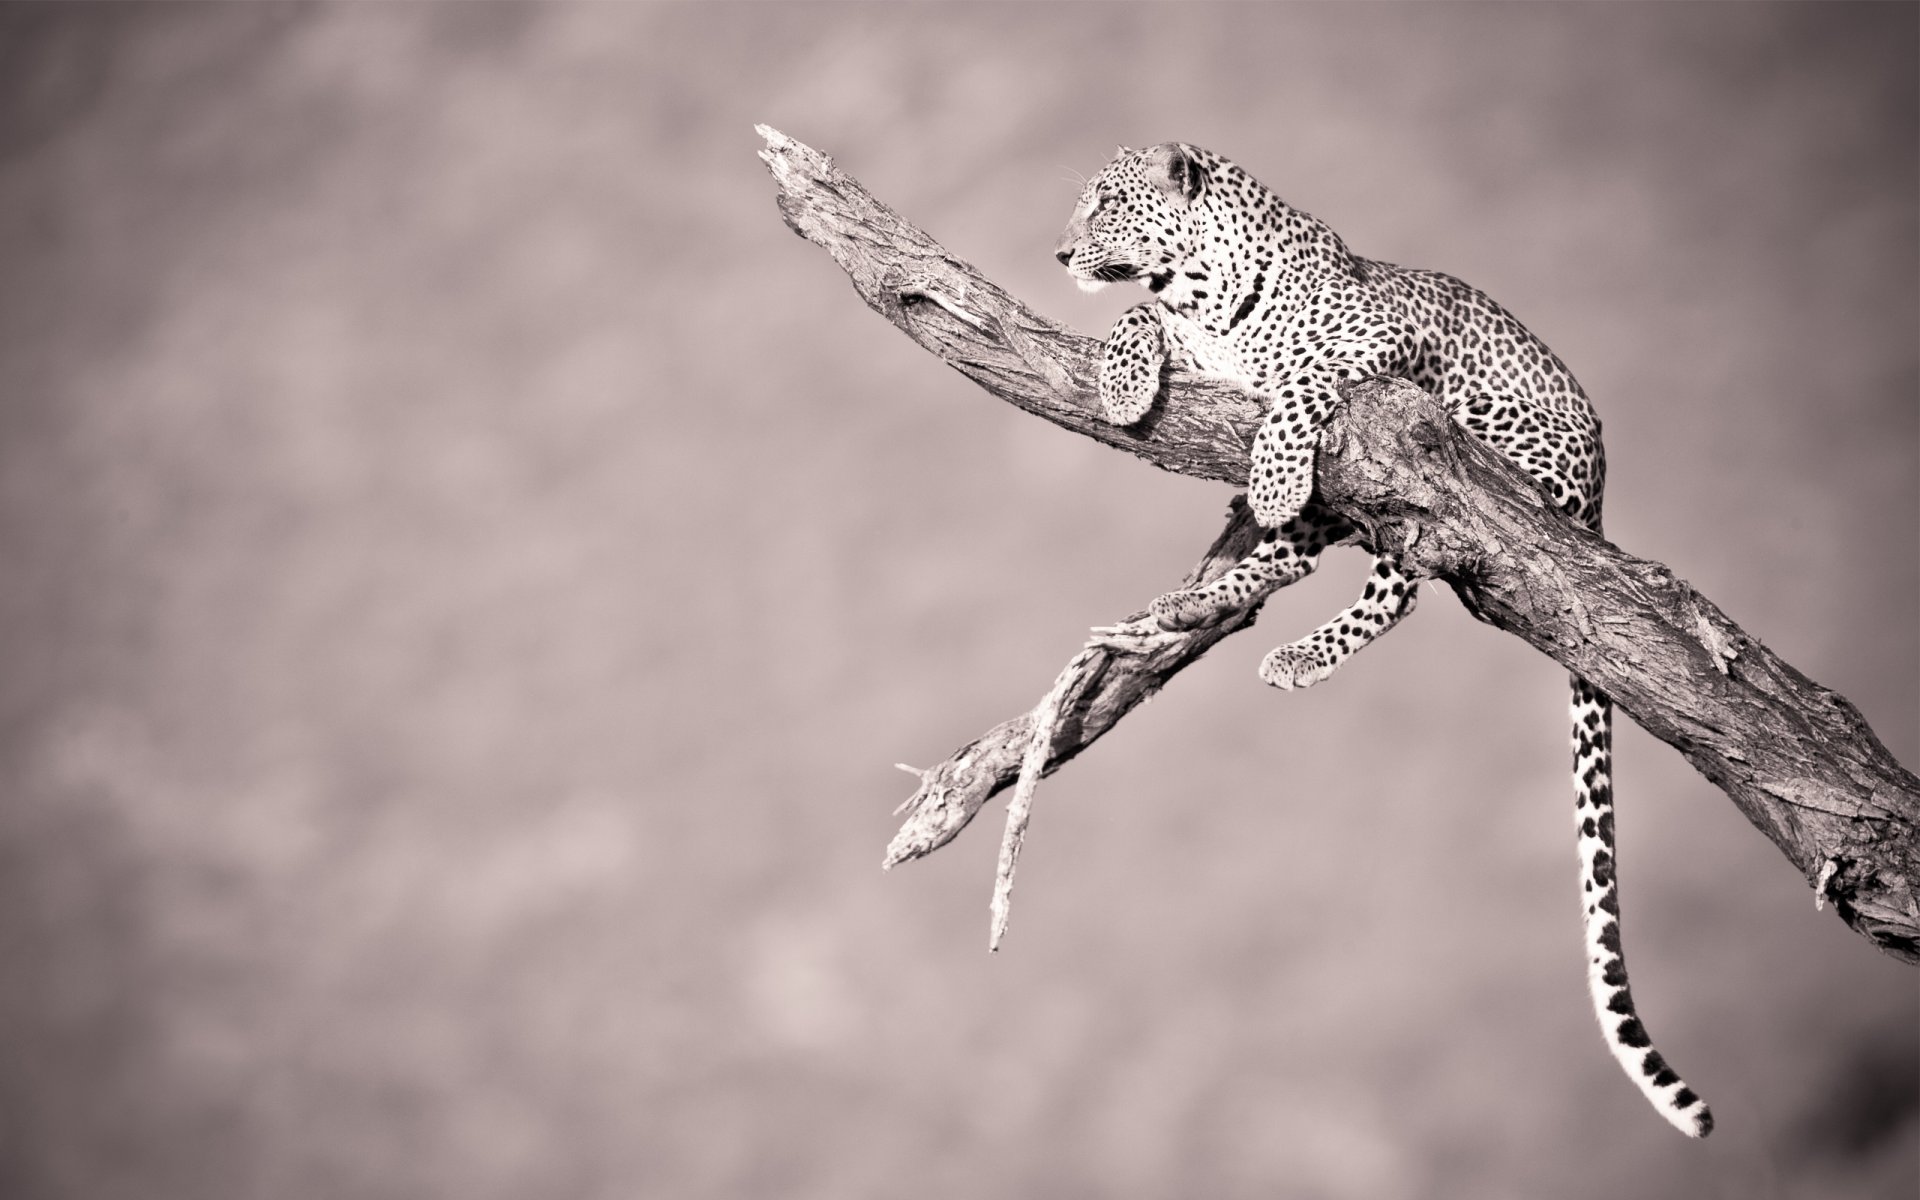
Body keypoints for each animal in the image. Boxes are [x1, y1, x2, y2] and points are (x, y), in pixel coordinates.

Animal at [1055, 142, 1712, 1139]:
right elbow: (1137, 315)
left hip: (1456, 454)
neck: (1200, 291)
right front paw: (1127, 385)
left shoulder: (1373, 343)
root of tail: (1600, 493)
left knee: (1400, 579)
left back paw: (1290, 637)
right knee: (1297, 561)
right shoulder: (1190, 336)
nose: (1058, 253)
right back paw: (1187, 607)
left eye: (1108, 204)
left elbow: (1297, 383)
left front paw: (1271, 469)